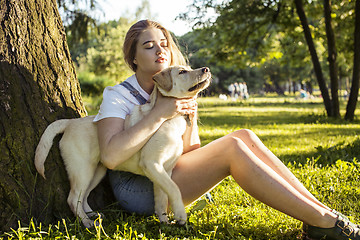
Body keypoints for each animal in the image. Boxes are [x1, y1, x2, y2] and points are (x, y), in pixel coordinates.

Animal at [34, 65, 211, 227]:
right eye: (182, 72)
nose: (206, 69)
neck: (171, 120)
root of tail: (70, 122)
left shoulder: (164, 170)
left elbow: (162, 197)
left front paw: (164, 222)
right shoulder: (152, 163)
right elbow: (174, 189)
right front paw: (180, 215)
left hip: (97, 171)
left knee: (83, 196)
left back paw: (93, 215)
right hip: (82, 169)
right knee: (73, 197)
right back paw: (87, 223)